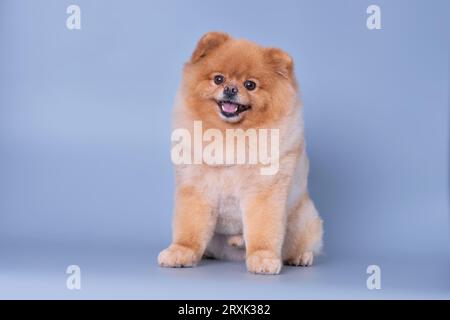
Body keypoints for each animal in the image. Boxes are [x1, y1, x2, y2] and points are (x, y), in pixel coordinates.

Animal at [158, 31, 324, 274]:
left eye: (250, 84)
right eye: (218, 79)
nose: (230, 89)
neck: (231, 134)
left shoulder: (263, 192)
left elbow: (264, 230)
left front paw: (263, 257)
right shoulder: (196, 188)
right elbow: (189, 227)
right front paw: (181, 251)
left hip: (302, 218)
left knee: (301, 243)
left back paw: (300, 256)